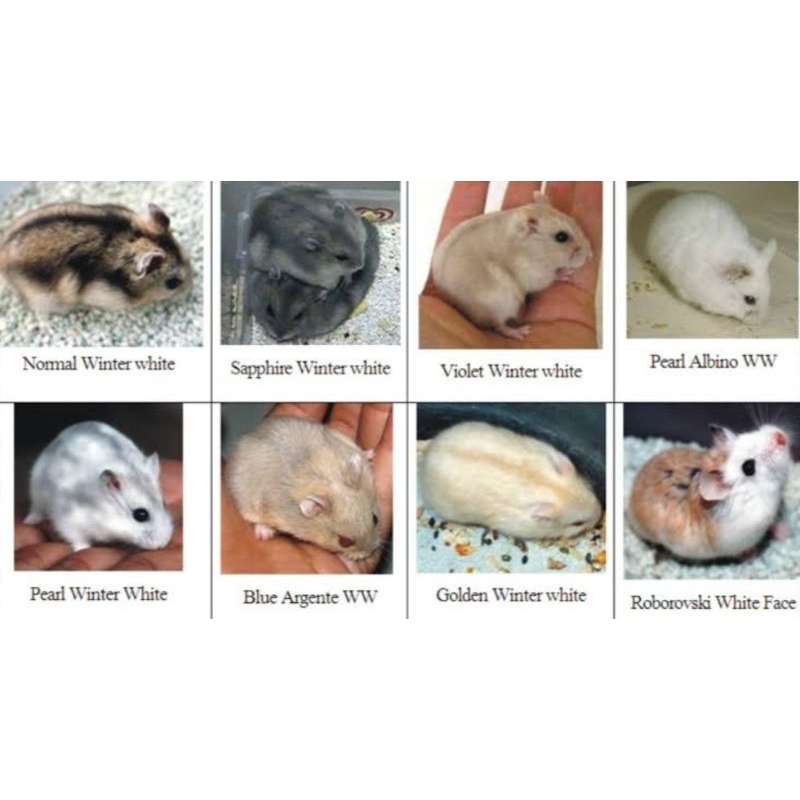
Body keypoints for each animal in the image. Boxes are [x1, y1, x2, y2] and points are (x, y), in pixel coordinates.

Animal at [25, 421, 173, 552]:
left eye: (164, 504)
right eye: (140, 515)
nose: (162, 545)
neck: (104, 510)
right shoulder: (69, 520)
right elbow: (77, 538)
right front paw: (82, 549)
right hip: (36, 490)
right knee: (36, 509)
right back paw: (29, 522)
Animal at [225, 415, 381, 561]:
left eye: (375, 519)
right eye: (345, 542)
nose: (369, 553)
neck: (324, 483)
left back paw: (369, 454)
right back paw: (265, 534)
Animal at [431, 190, 592, 340]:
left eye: (574, 221)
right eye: (561, 237)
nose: (590, 256)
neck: (534, 248)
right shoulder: (534, 273)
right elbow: (550, 277)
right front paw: (565, 273)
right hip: (501, 304)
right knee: (499, 326)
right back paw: (521, 332)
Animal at [627, 424, 791, 560]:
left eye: (746, 434)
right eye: (749, 467)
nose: (781, 437)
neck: (757, 492)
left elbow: (773, 524)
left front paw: (785, 532)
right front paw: (751, 555)